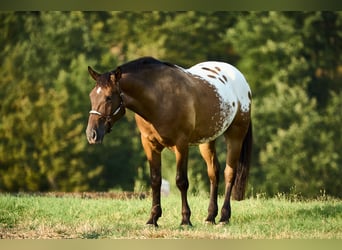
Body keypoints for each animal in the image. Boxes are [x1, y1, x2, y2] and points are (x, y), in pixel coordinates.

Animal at [85, 57, 251, 227]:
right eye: (91, 96)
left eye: (108, 97)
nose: (91, 134)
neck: (159, 98)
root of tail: (240, 78)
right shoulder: (149, 145)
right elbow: (155, 180)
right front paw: (153, 218)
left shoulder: (181, 144)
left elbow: (181, 181)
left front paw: (185, 219)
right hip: (207, 141)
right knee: (213, 173)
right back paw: (210, 216)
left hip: (235, 135)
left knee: (229, 173)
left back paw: (224, 217)